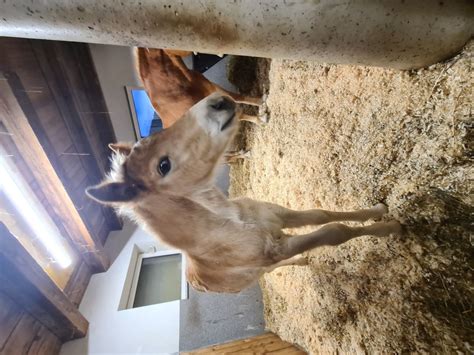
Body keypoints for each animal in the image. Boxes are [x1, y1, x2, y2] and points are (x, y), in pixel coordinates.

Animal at [86, 93, 400, 294]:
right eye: (163, 165)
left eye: (150, 135)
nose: (217, 102)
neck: (231, 223)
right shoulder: (275, 249)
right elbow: (335, 231)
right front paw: (392, 228)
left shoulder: (279, 216)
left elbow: (323, 215)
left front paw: (379, 212)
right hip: (264, 265)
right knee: (274, 268)